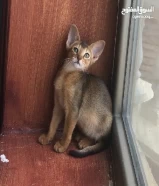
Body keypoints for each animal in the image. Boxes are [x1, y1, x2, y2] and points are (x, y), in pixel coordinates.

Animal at [38, 24, 112, 158]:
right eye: (75, 49)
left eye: (87, 55)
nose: (78, 58)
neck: (66, 76)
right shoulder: (58, 105)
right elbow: (52, 124)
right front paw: (47, 137)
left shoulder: (73, 110)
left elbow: (67, 131)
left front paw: (62, 146)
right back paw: (79, 136)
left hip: (96, 120)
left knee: (98, 138)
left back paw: (85, 141)